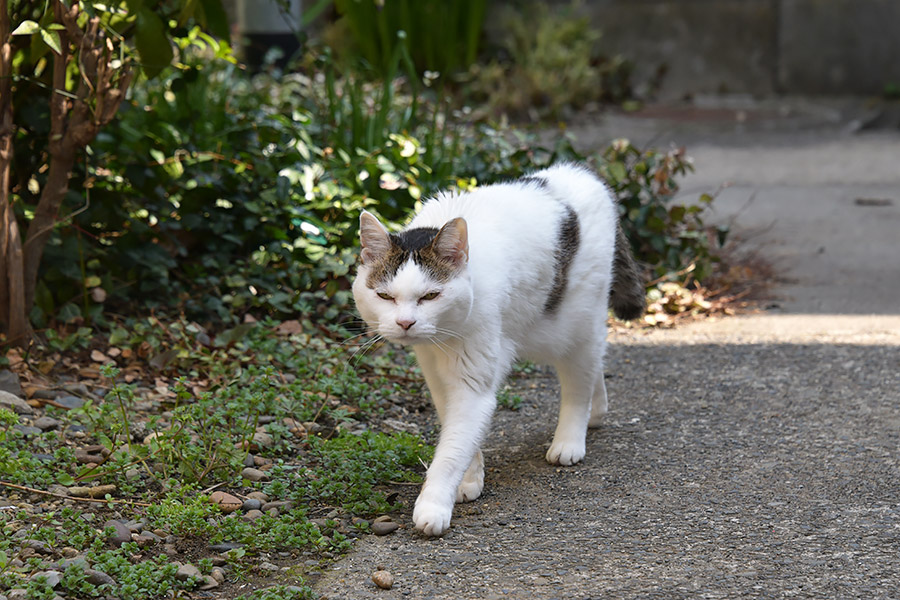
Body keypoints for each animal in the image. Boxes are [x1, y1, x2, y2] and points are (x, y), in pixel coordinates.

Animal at [352, 162, 648, 536]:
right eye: (385, 296)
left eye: (431, 296)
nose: (405, 323)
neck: (444, 337)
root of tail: (584, 173)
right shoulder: (435, 372)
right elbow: (458, 432)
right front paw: (469, 479)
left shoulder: (472, 381)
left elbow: (451, 450)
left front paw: (434, 505)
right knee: (594, 365)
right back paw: (598, 411)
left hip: (574, 322)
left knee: (580, 377)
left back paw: (570, 439)